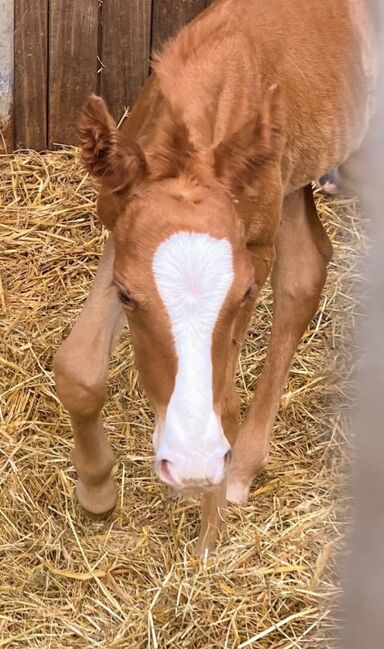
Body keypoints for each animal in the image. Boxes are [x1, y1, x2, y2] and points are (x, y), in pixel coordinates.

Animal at [54, 0, 378, 552]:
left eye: (244, 292)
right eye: (127, 296)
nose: (192, 464)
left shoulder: (256, 251)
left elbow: (223, 396)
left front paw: (209, 536)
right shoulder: (120, 230)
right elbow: (78, 368)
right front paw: (97, 491)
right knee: (307, 269)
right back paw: (245, 467)